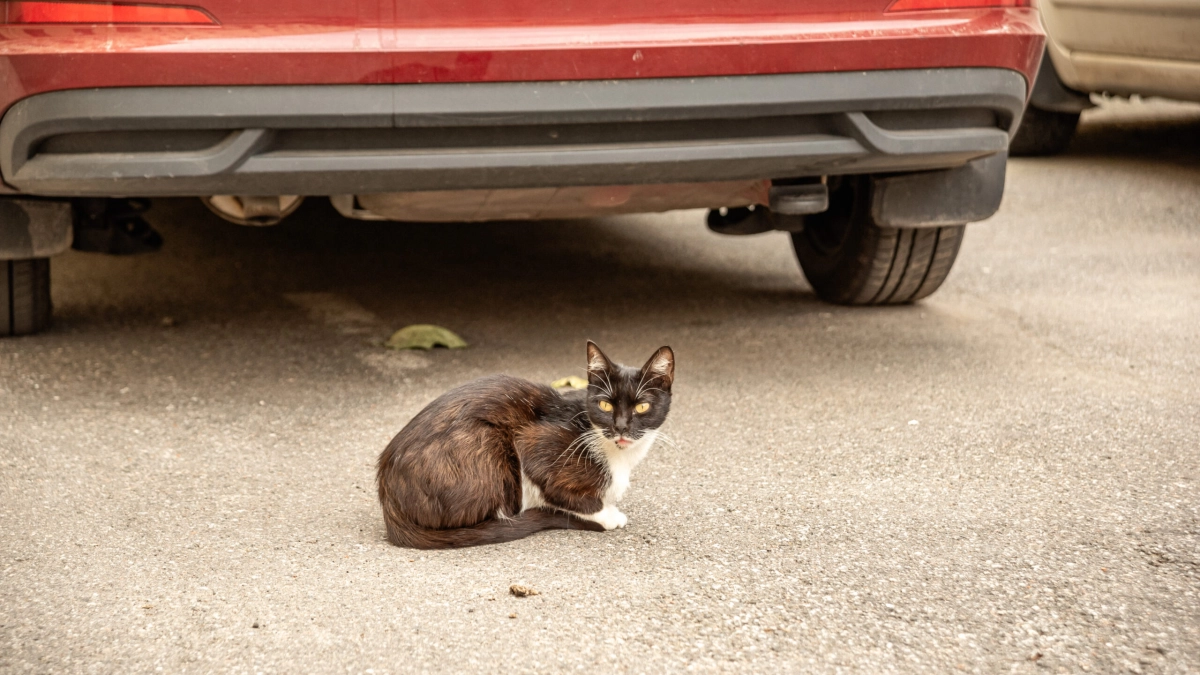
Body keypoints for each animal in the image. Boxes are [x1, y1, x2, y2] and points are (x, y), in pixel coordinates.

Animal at [376, 341, 676, 547]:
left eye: (642, 406)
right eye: (604, 405)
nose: (621, 427)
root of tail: (389, 500)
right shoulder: (534, 444)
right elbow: (563, 492)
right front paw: (607, 514)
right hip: (488, 444)